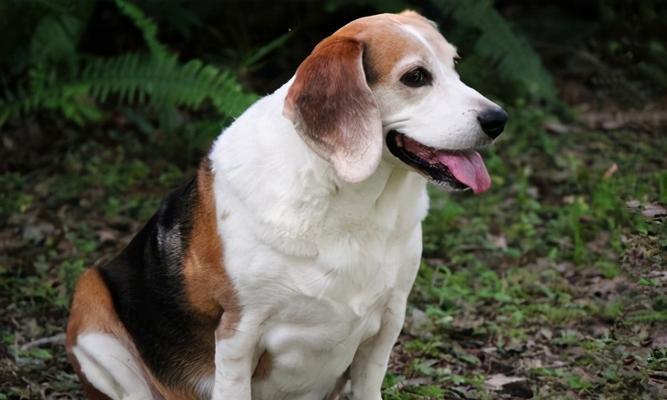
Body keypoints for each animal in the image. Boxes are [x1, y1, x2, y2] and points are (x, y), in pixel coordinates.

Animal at [66, 9, 506, 400]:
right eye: (415, 77)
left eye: (454, 65)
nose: (498, 119)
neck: (354, 203)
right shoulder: (238, 332)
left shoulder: (389, 318)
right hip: (92, 311)